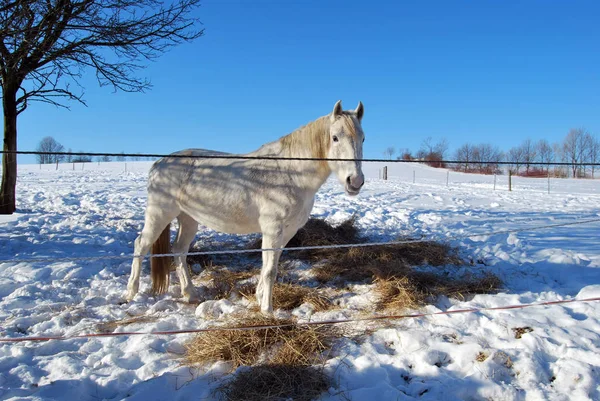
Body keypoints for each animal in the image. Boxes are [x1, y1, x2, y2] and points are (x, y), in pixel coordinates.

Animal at [126, 100, 366, 312]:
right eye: (335, 138)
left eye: (362, 138)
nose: (354, 181)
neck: (290, 172)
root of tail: (159, 163)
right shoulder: (272, 229)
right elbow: (270, 271)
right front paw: (267, 310)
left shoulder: (287, 232)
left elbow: (270, 266)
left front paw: (260, 297)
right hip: (159, 214)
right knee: (141, 245)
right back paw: (131, 292)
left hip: (188, 219)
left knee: (179, 250)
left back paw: (190, 293)